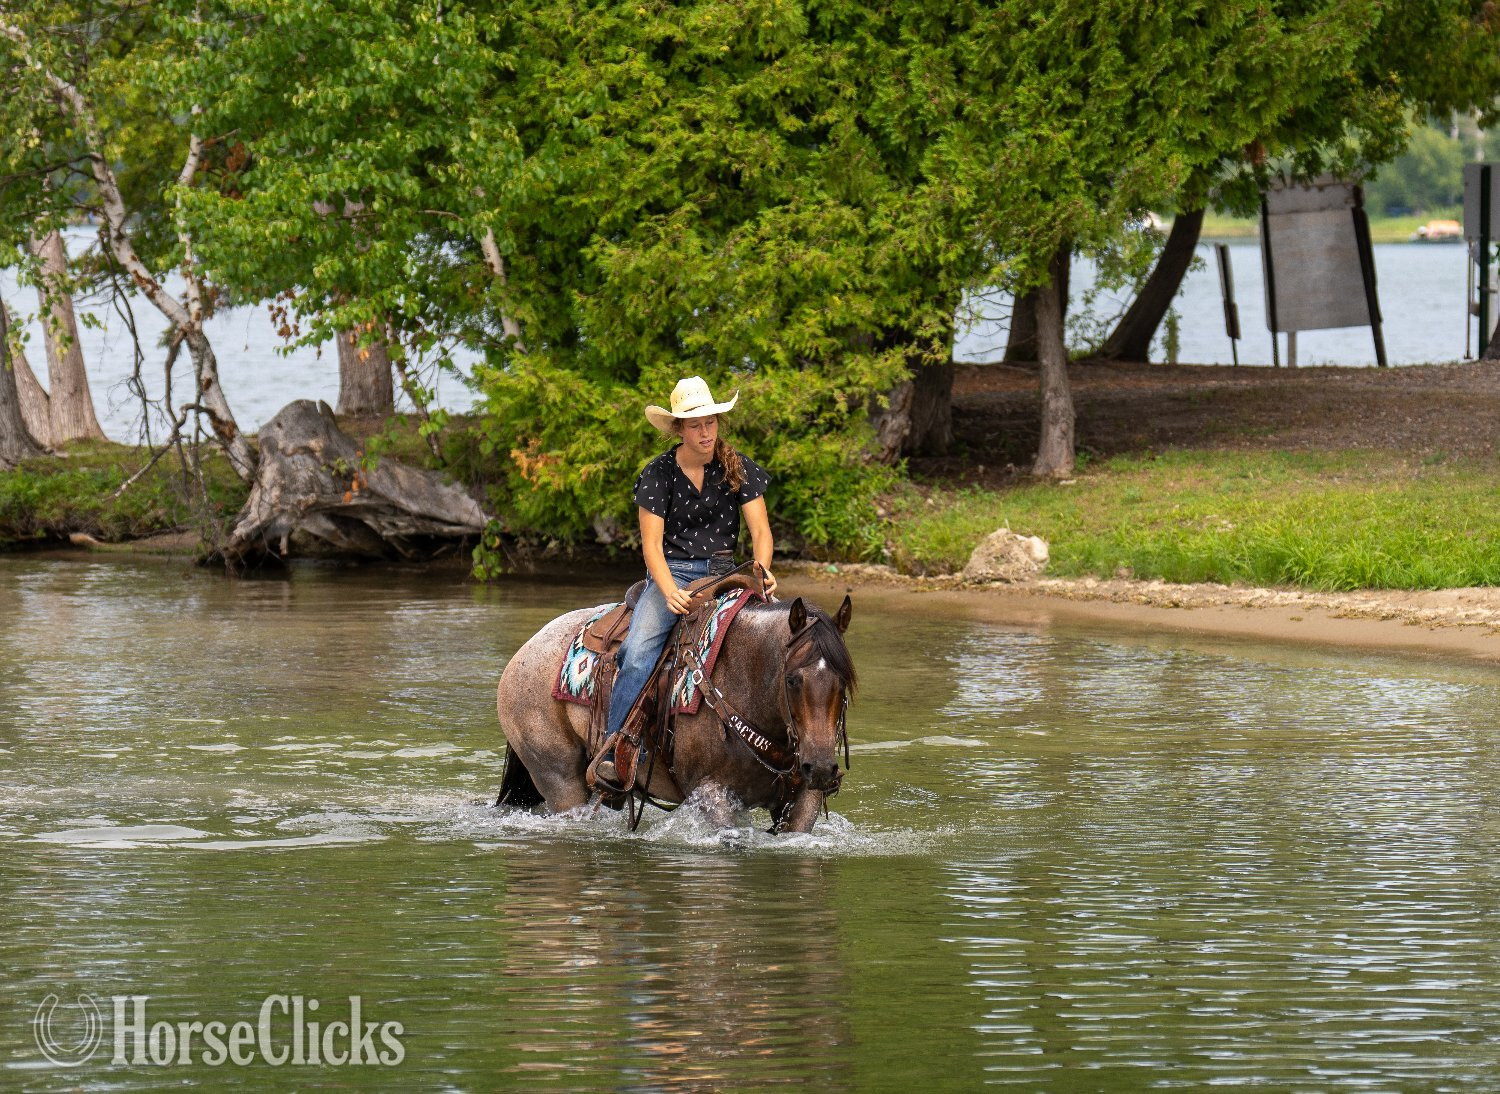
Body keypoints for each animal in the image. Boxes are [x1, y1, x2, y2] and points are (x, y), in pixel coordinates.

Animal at [495, 593, 855, 833]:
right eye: (792, 679)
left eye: (844, 680)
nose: (821, 767)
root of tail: (523, 653)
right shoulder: (712, 797)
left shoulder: (802, 800)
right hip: (559, 780)